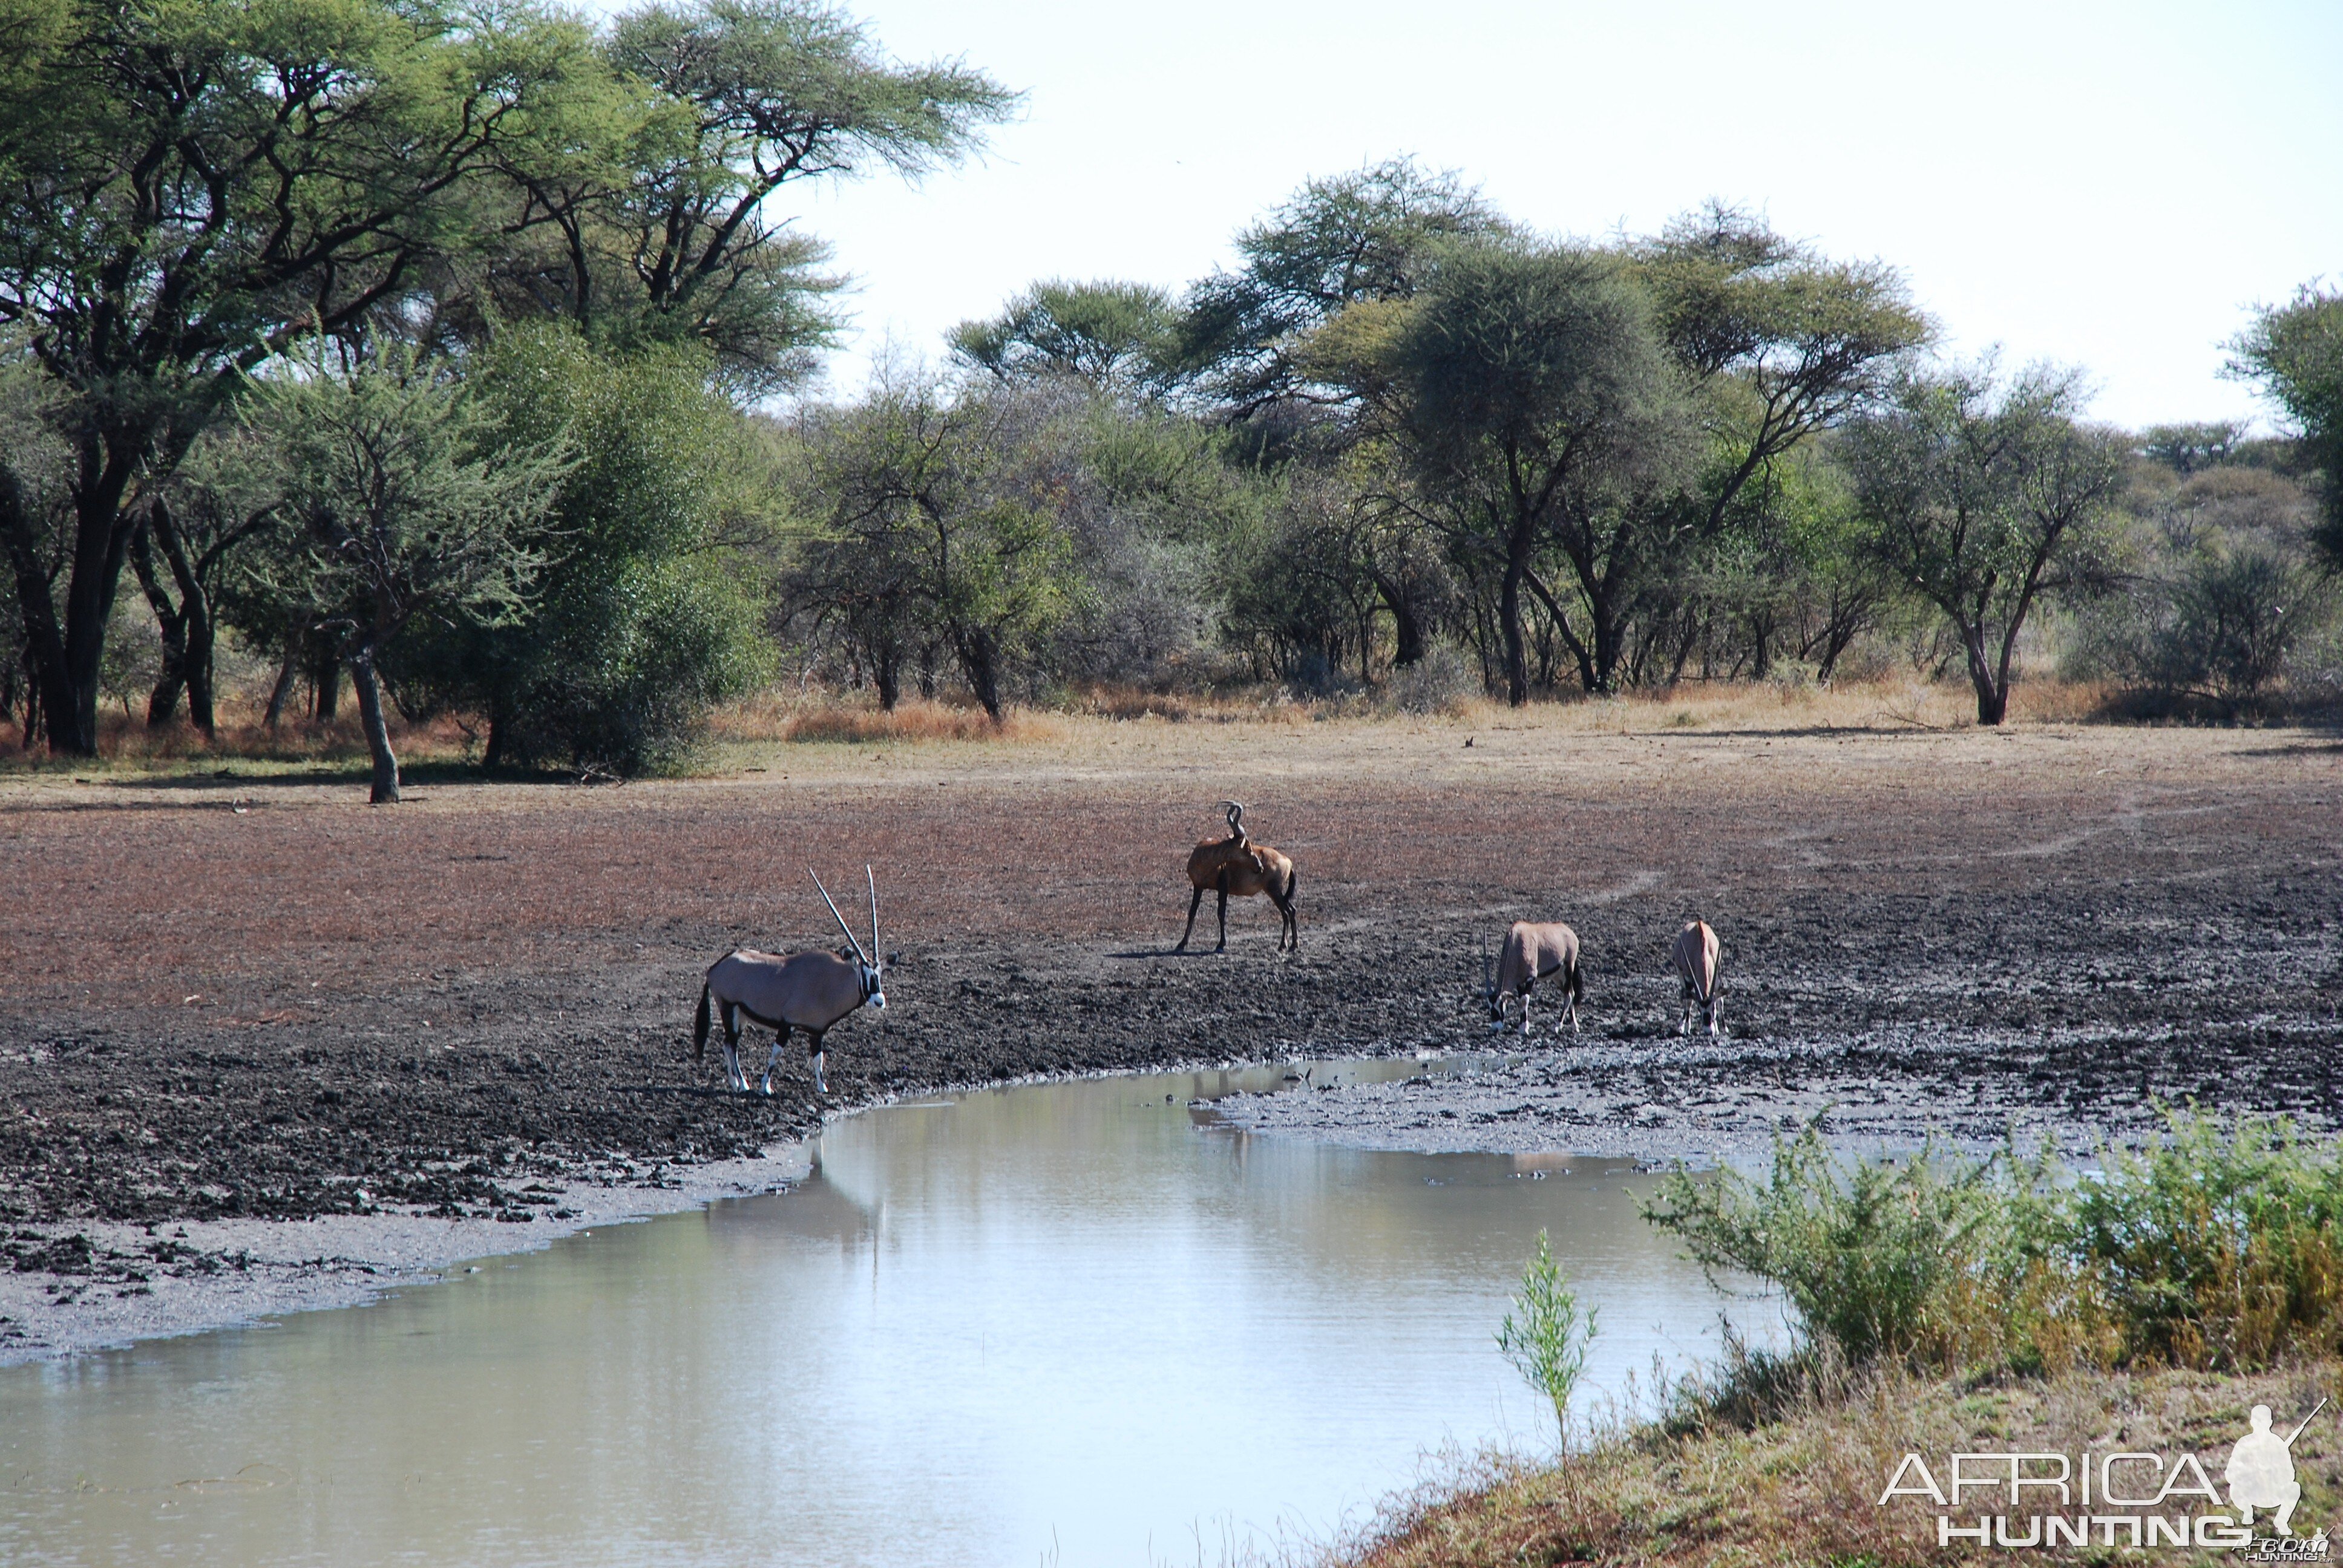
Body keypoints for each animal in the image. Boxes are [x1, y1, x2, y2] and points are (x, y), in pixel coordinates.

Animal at [693, 867, 885, 1087]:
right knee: (732, 1046)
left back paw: (736, 1085)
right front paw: (765, 1087)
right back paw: (744, 1085)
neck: (828, 982)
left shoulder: (817, 1032)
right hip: (728, 1008)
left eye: (880, 974)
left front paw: (823, 1088)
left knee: (727, 1044)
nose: (879, 1001)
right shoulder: (787, 1024)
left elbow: (818, 1059)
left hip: (740, 1016)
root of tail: (715, 968)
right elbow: (776, 1053)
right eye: (865, 974)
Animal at [1172, 806, 1302, 956]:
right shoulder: (1198, 887)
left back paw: (1283, 946)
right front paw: (1181, 944)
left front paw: (1220, 945)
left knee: (1286, 912)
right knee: (1292, 910)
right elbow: (1192, 912)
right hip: (1276, 892)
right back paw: (1293, 945)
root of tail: (1288, 861)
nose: (1260, 867)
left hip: (1274, 891)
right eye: (1247, 847)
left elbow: (1221, 913)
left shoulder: (1223, 888)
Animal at [1490, 923, 1584, 1031]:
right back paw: (1574, 1025)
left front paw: (1524, 1028)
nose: (1495, 1028)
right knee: (1571, 993)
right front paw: (1522, 1026)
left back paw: (1557, 1025)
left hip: (1568, 969)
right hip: (1558, 977)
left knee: (1568, 996)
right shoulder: (1520, 981)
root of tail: (1570, 933)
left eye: (1500, 1004)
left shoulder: (1531, 977)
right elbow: (1520, 1000)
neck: (1516, 940)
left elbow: (1524, 999)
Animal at [1668, 918, 1724, 1040]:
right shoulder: (1688, 978)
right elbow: (1689, 1001)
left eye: (1713, 1008)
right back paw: (1682, 1025)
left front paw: (1719, 1029)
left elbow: (1719, 998)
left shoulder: (1716, 975)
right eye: (1699, 1009)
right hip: (1680, 974)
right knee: (1686, 997)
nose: (1709, 1032)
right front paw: (1686, 1029)